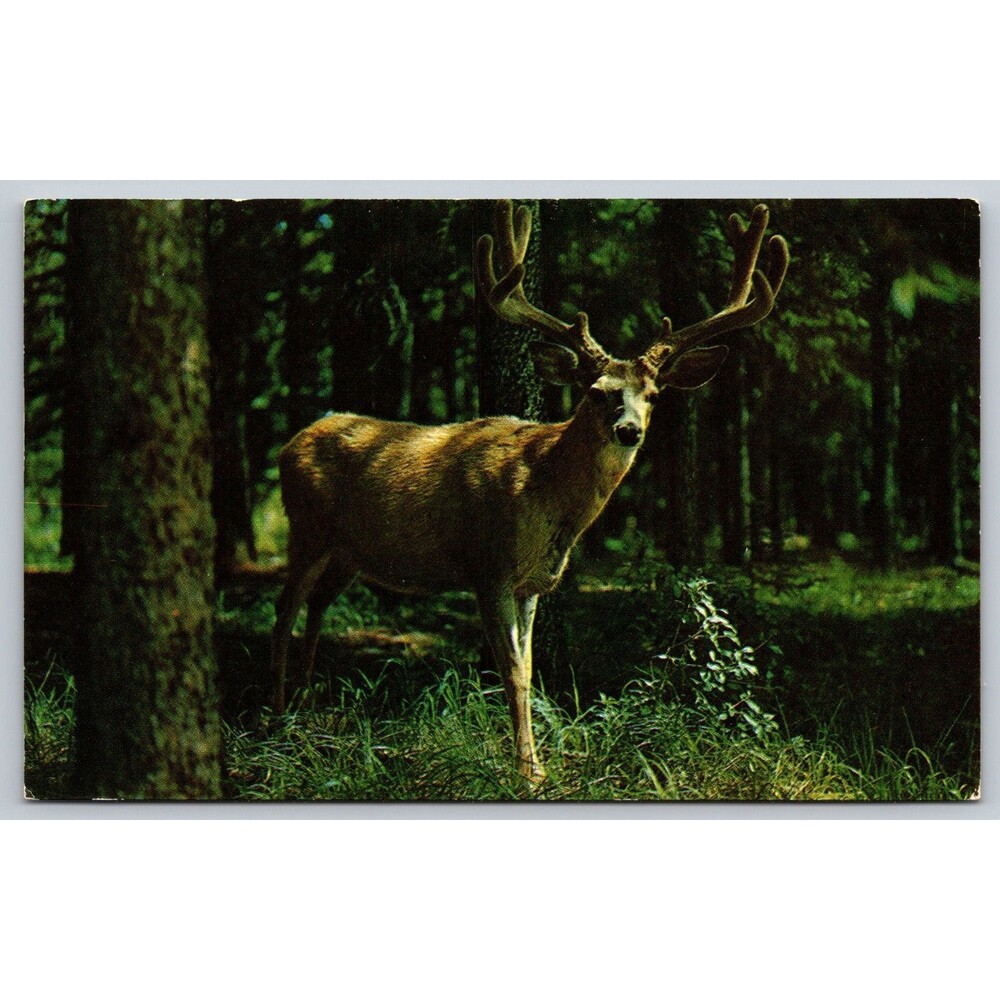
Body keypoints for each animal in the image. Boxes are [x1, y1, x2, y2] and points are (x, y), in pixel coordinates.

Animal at [270, 199, 789, 782]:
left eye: (654, 393)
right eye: (595, 391)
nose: (629, 430)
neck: (544, 497)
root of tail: (291, 442)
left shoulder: (533, 584)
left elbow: (533, 667)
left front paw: (535, 759)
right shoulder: (489, 567)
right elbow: (514, 672)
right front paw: (529, 771)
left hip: (348, 552)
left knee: (317, 603)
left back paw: (307, 700)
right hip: (306, 528)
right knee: (284, 608)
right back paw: (277, 715)